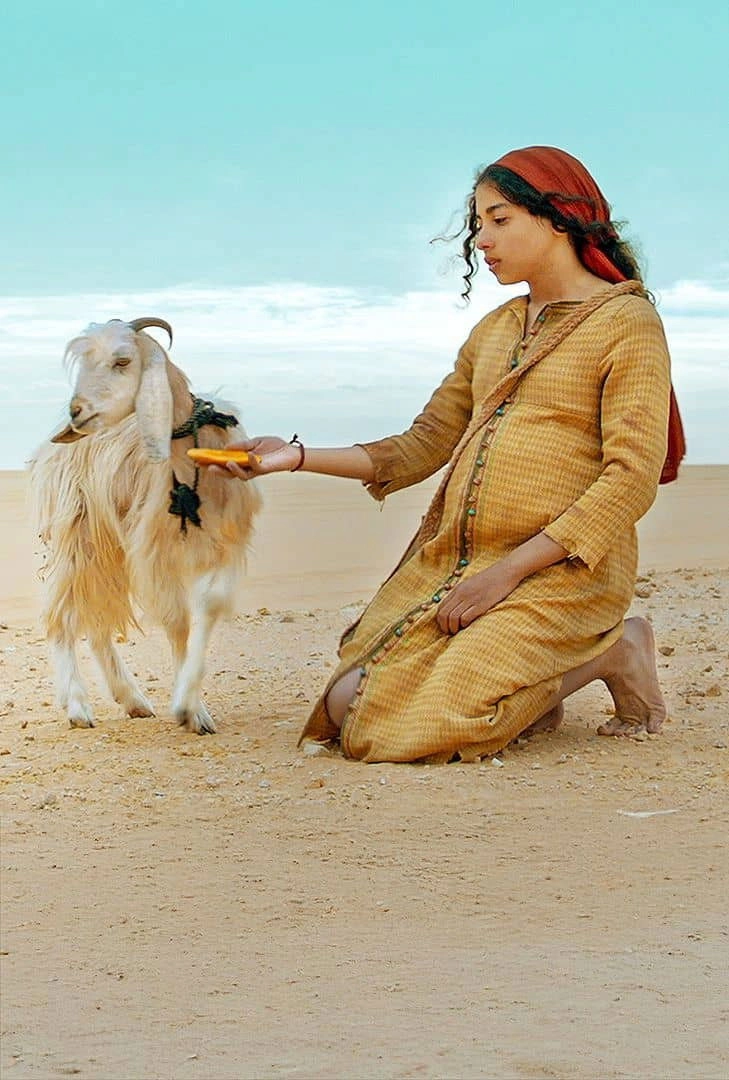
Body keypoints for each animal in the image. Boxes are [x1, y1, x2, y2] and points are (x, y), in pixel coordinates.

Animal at [30, 317, 261, 734]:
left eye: (122, 360)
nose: (77, 412)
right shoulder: (155, 550)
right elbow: (177, 621)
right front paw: (189, 709)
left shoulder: (224, 544)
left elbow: (208, 608)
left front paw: (192, 704)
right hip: (79, 535)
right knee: (62, 615)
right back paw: (77, 706)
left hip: (107, 548)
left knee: (97, 621)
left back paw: (133, 700)